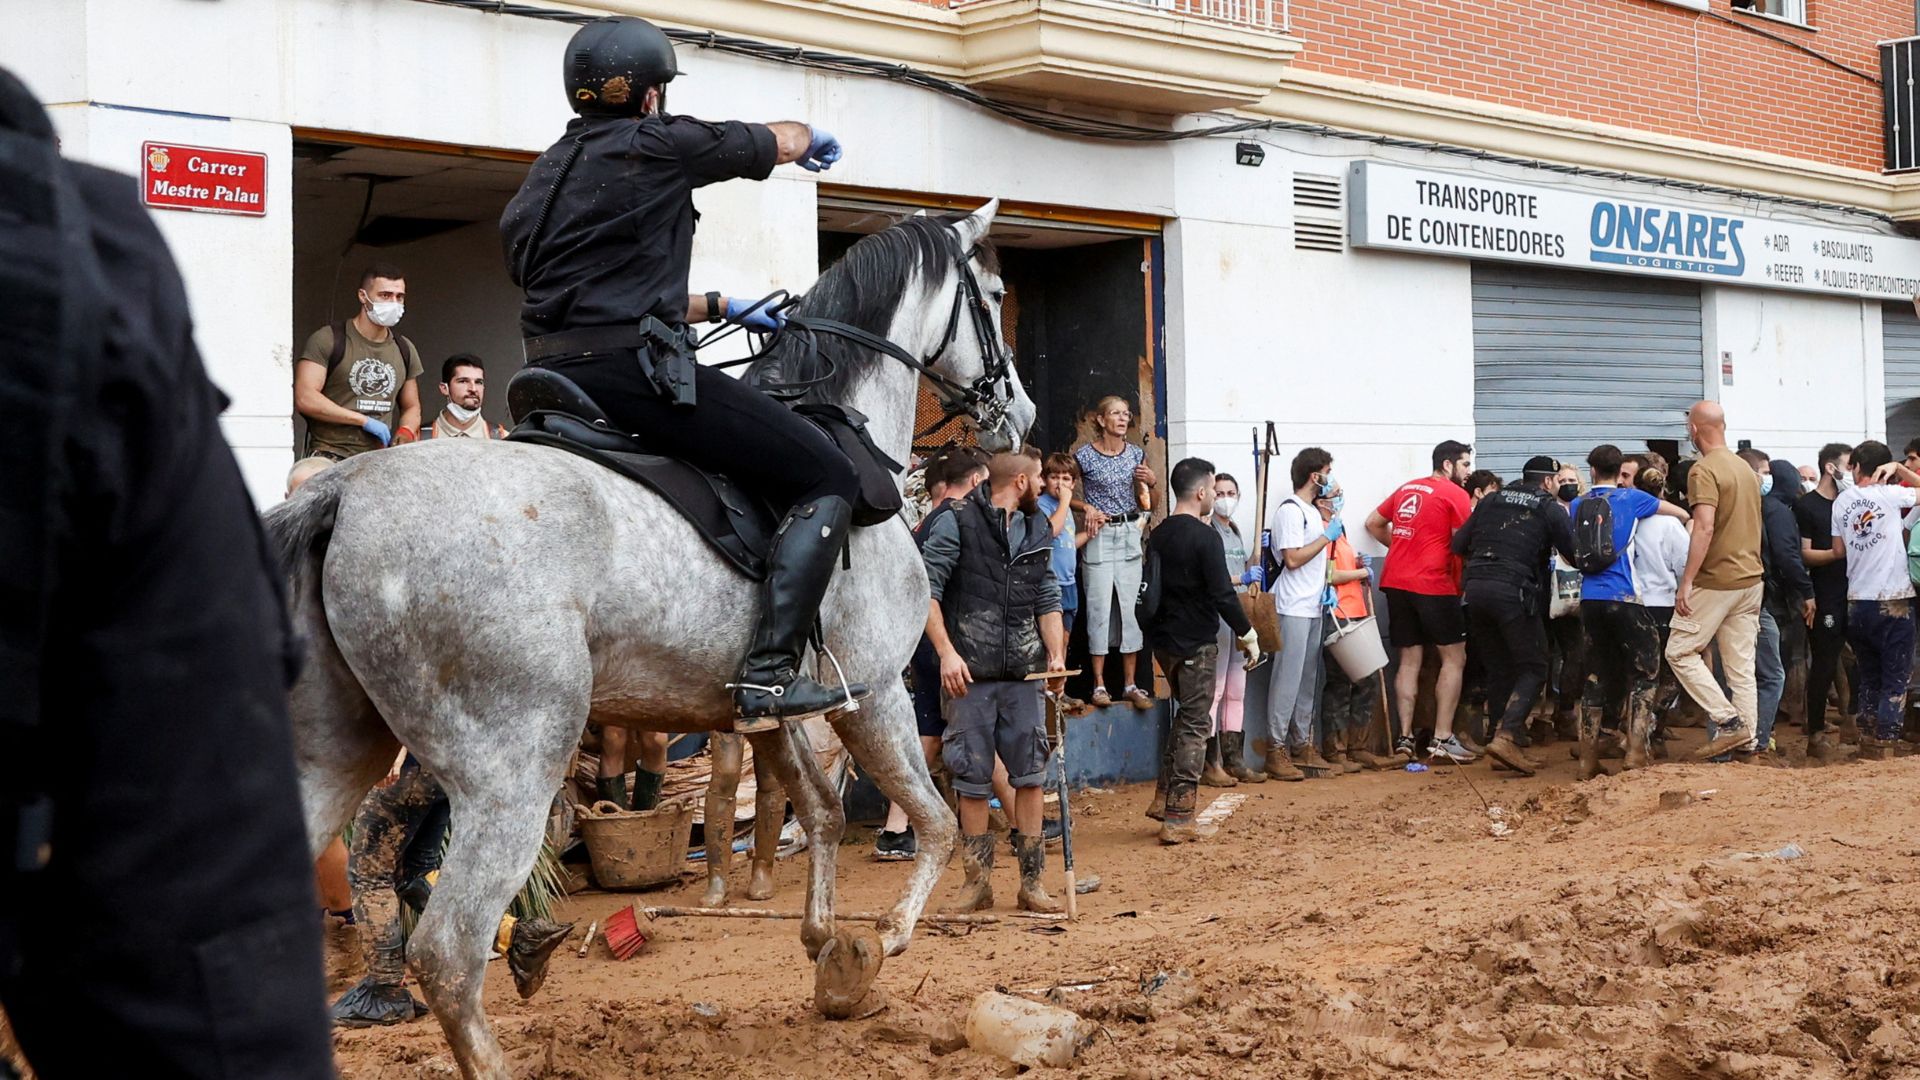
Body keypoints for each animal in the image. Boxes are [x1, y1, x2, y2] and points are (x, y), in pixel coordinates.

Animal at [266, 201, 1036, 1076]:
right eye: (996, 292)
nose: (1022, 415)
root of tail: (342, 494)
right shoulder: (870, 694)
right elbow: (934, 820)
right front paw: (881, 943)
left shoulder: (763, 706)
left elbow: (820, 812)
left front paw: (824, 948)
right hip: (512, 767)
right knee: (449, 950)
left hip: (337, 752)